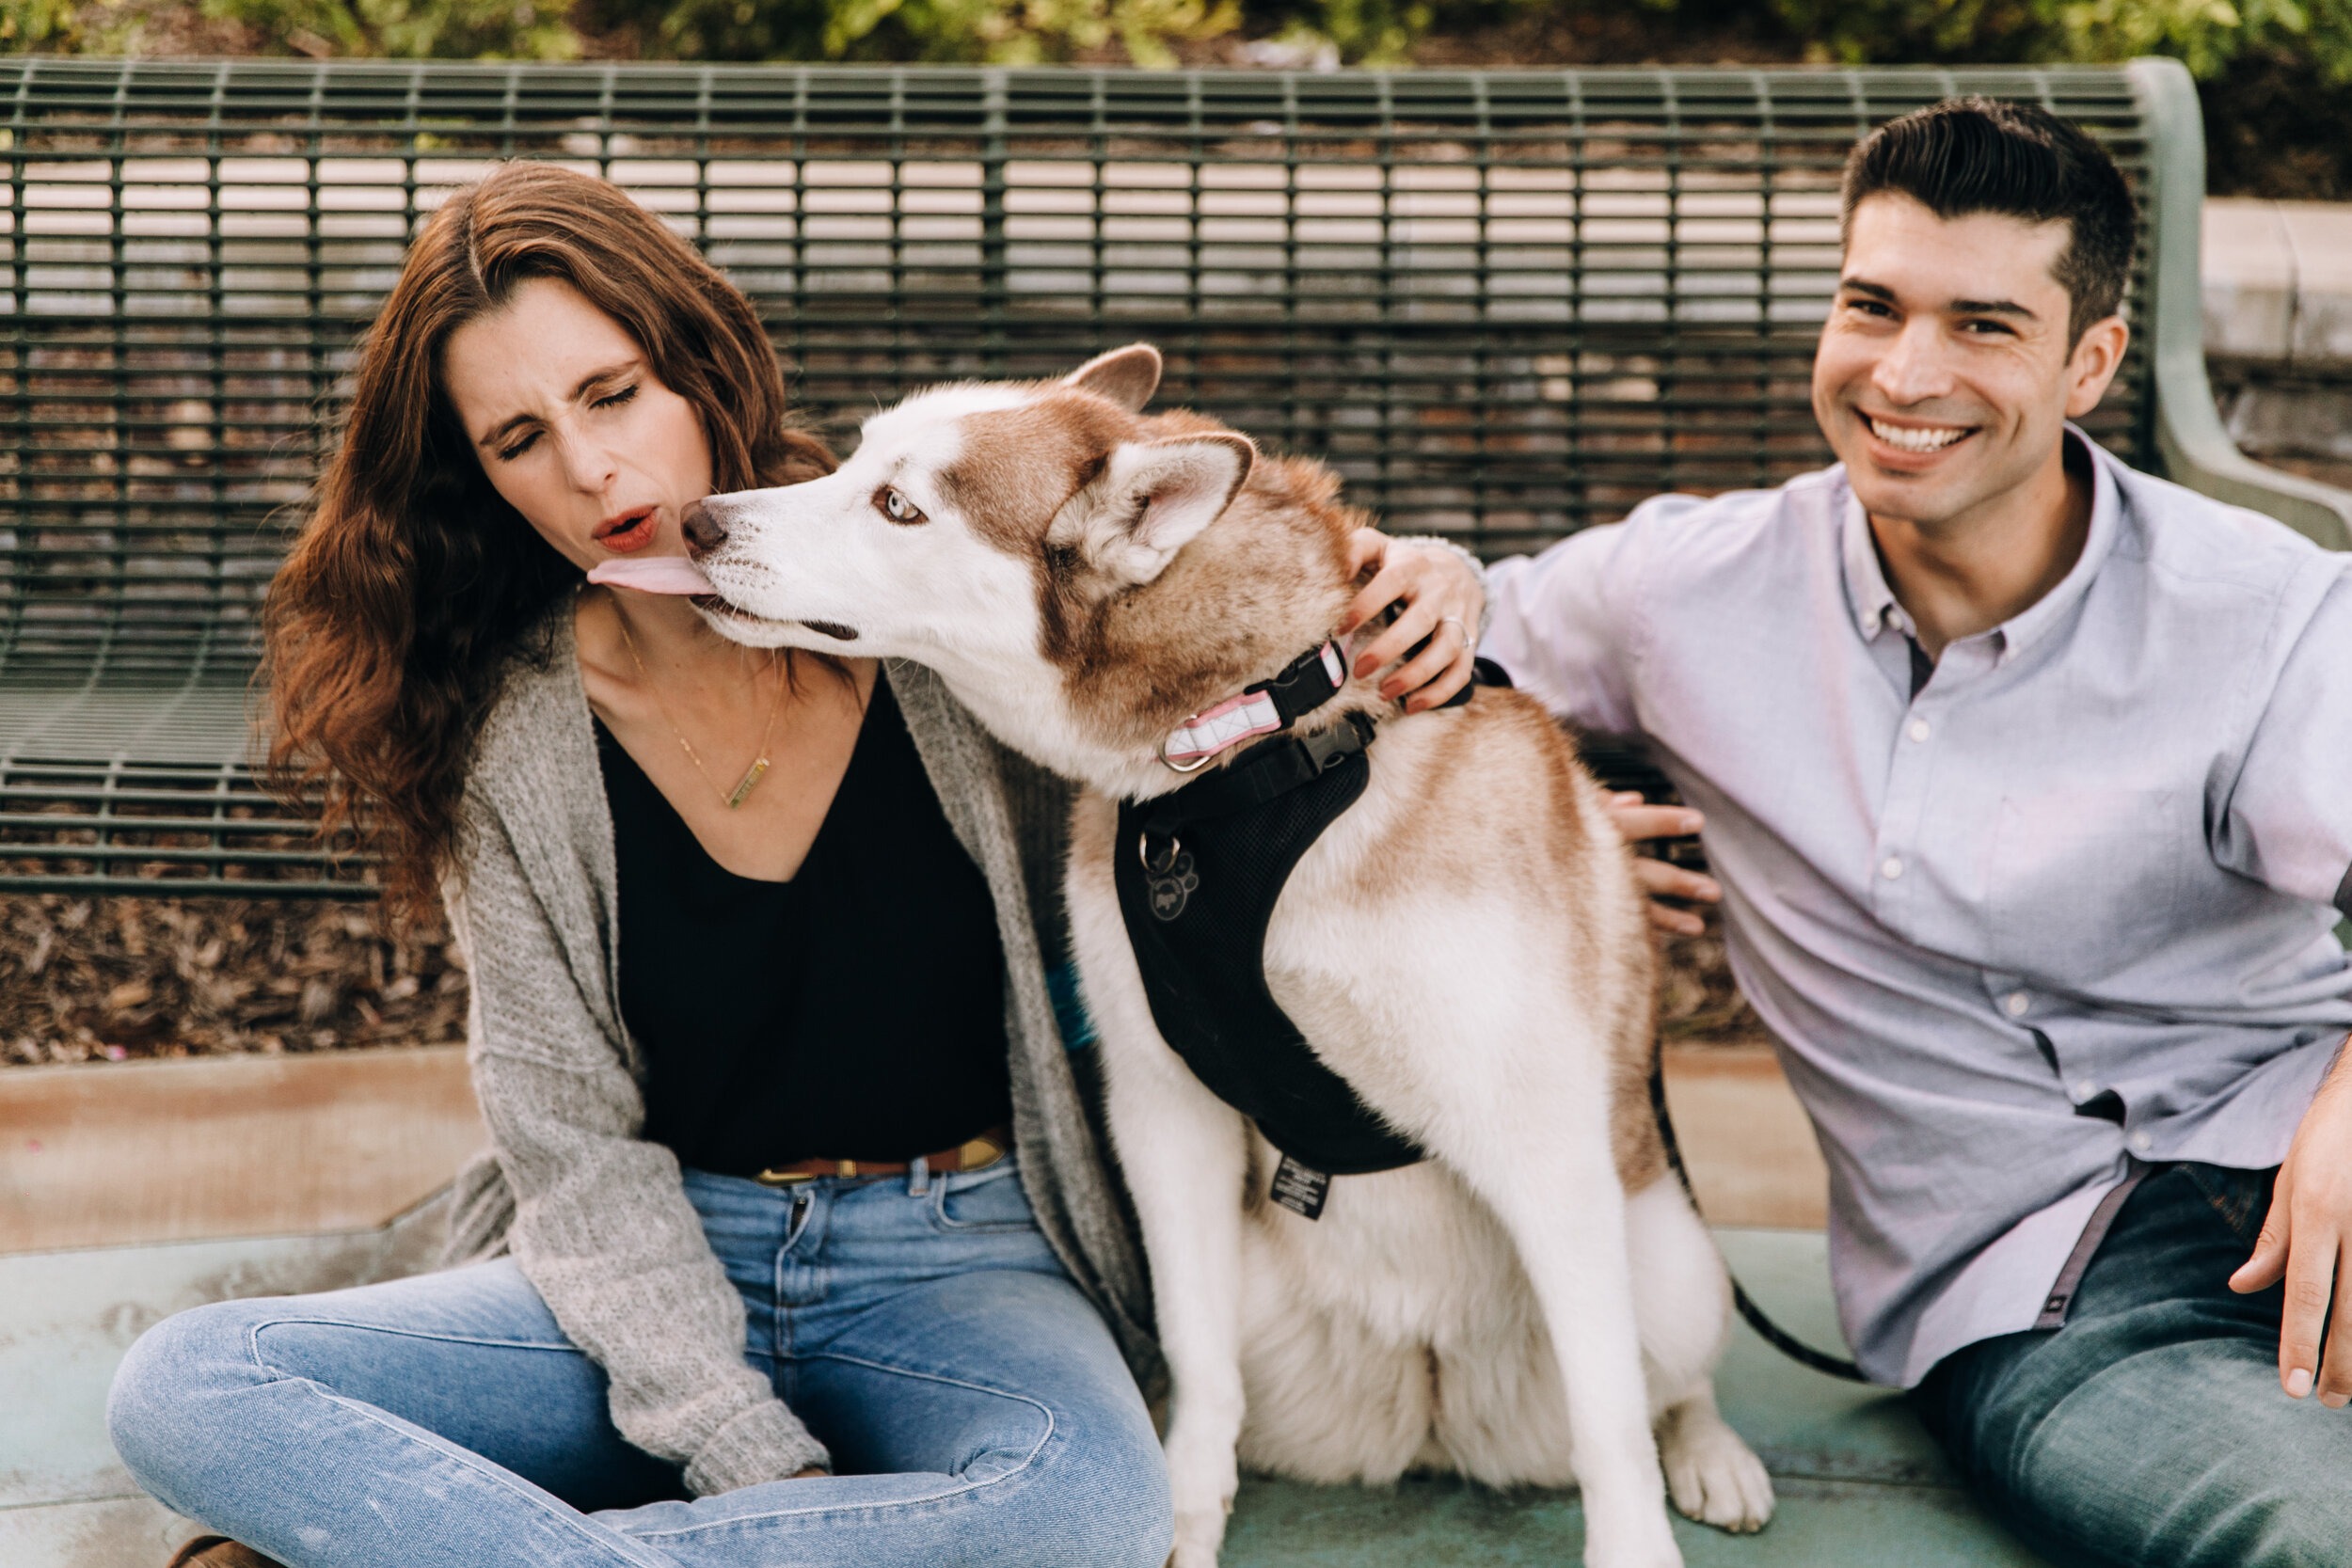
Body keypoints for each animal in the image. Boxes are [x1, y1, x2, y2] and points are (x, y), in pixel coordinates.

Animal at [635, 345, 1769, 1568]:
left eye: (897, 505)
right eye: (853, 459)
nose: (698, 518)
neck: (1244, 753)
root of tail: (1424, 1397)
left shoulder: (1539, 1135)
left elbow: (1611, 1419)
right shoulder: (1162, 1107)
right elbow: (1198, 1354)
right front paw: (1184, 1512)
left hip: (1667, 1262)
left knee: (1662, 1382)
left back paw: (1710, 1450)